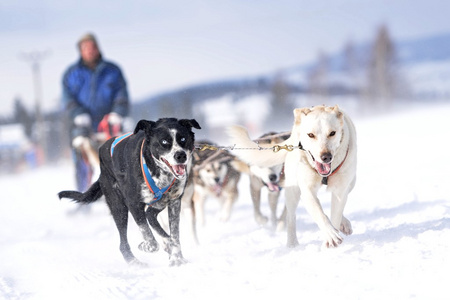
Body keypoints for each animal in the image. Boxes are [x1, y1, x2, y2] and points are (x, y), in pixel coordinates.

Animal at [59, 118, 201, 266]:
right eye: (164, 142)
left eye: (183, 139)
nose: (181, 155)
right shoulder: (134, 204)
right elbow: (149, 235)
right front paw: (148, 246)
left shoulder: (174, 202)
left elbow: (174, 234)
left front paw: (177, 257)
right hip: (119, 208)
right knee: (123, 242)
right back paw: (134, 262)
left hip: (156, 204)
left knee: (150, 215)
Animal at [230, 105, 356, 248]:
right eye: (310, 135)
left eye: (332, 133)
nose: (326, 156)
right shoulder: (307, 191)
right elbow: (319, 214)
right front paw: (330, 234)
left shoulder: (340, 191)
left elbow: (336, 214)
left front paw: (333, 235)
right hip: (292, 190)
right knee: (290, 217)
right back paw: (292, 243)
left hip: (351, 183)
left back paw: (344, 224)